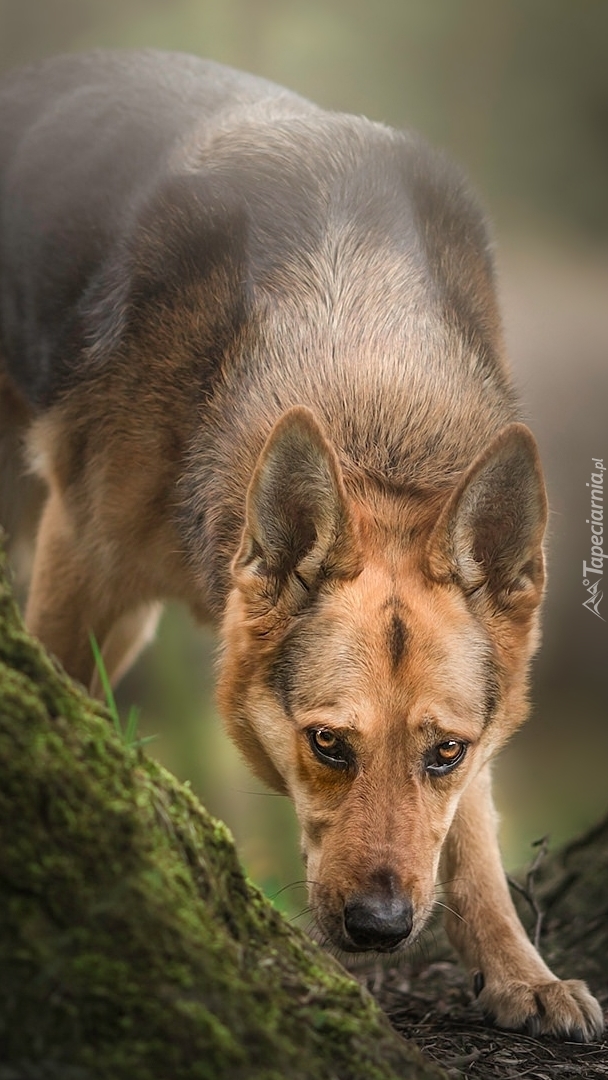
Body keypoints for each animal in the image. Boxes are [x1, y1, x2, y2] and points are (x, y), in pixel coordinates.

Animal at [0, 48, 600, 1036]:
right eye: (328, 745)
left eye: (443, 753)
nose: (382, 929)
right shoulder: (82, 567)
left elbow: (471, 843)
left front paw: (521, 971)